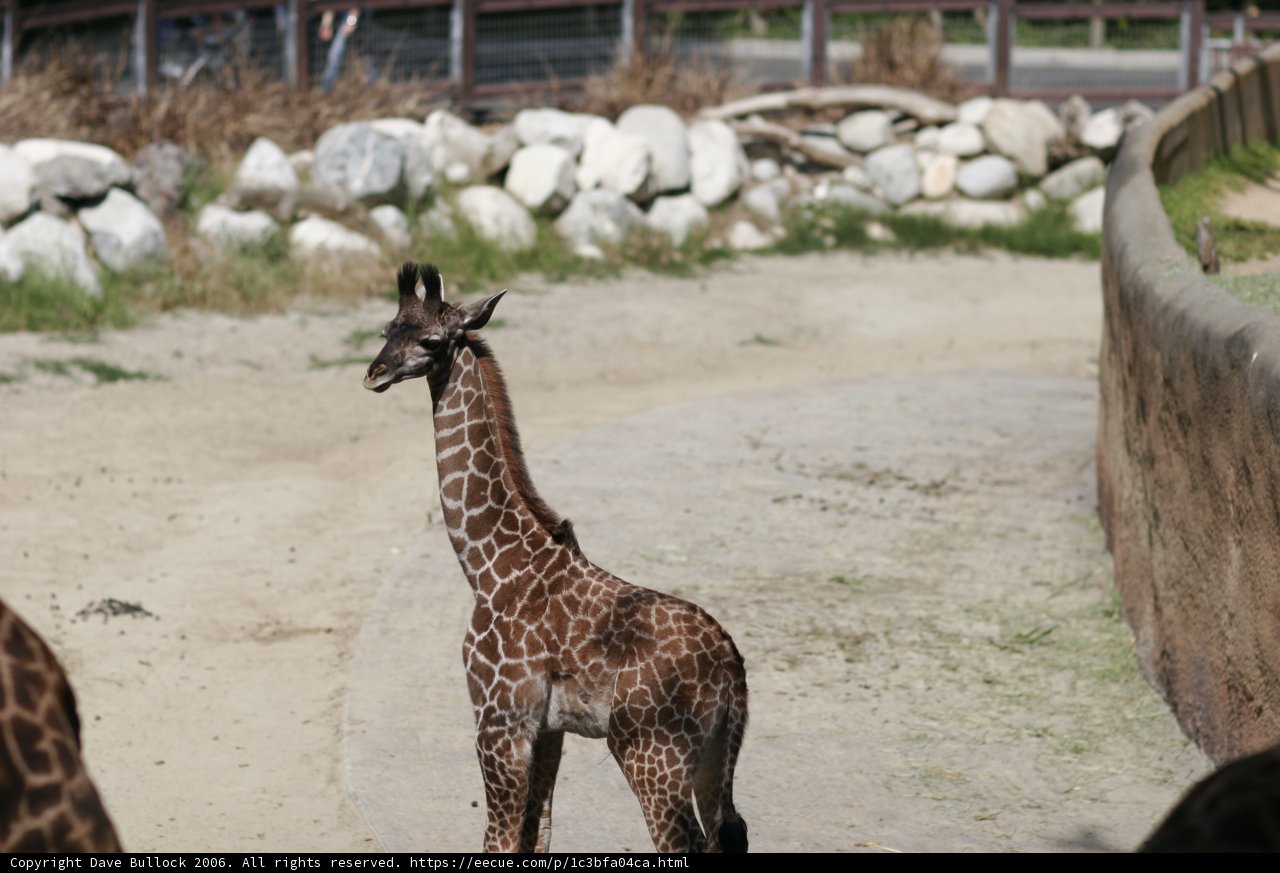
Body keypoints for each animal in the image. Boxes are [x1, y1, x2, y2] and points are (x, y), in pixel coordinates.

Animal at [364, 262, 749, 853]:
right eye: (388, 328)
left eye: (430, 340)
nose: (373, 373)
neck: (490, 566)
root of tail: (732, 668)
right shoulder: (549, 728)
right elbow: (538, 832)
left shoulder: (499, 717)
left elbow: (499, 839)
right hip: (713, 755)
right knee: (728, 832)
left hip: (650, 752)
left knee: (681, 841)